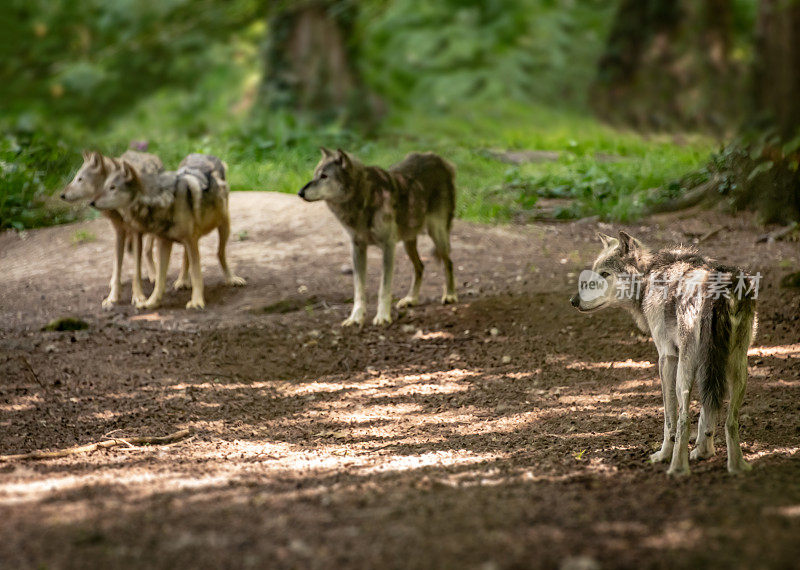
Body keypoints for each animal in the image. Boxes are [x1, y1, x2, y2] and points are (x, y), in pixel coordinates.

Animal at [61, 150, 166, 306]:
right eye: (75, 178)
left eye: (80, 179)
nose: (61, 195)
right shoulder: (119, 233)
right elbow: (117, 267)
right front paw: (113, 297)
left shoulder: (136, 233)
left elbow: (136, 270)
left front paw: (138, 296)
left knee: (147, 251)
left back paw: (154, 275)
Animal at [90, 153, 244, 308]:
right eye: (105, 187)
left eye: (113, 188)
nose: (91, 202)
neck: (161, 199)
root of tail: (206, 155)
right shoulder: (164, 242)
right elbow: (159, 279)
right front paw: (151, 302)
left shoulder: (190, 239)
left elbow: (196, 274)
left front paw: (196, 302)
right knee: (186, 257)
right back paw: (182, 281)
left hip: (223, 226)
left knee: (220, 253)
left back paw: (231, 279)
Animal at [298, 149, 456, 326]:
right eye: (315, 175)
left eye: (324, 176)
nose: (300, 193)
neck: (364, 198)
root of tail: (438, 158)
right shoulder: (357, 248)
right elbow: (359, 290)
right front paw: (355, 318)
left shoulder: (388, 246)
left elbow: (384, 289)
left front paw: (382, 317)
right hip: (408, 242)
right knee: (420, 266)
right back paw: (411, 299)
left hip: (437, 235)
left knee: (448, 262)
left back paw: (450, 295)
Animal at [568, 231, 756, 474]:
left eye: (605, 274)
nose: (573, 301)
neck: (649, 275)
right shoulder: (706, 363)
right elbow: (706, 411)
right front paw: (704, 451)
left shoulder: (667, 357)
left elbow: (670, 419)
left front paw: (664, 454)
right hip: (738, 365)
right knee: (730, 421)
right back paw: (737, 467)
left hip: (685, 372)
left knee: (684, 418)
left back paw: (677, 468)